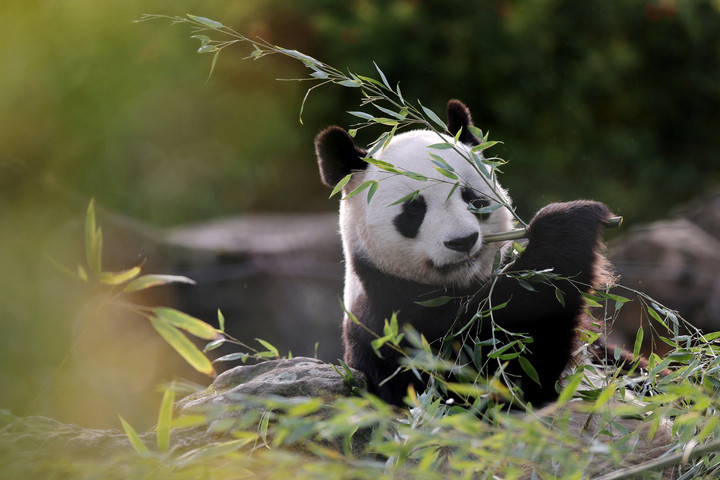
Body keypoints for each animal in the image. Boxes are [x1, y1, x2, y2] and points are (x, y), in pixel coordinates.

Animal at [315, 99, 615, 407]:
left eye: (472, 198)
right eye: (413, 210)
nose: (463, 241)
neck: (460, 284)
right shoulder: (394, 326)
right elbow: (500, 358)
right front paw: (568, 223)